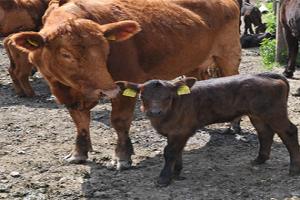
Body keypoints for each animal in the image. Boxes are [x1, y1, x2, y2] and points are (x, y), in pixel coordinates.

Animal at [10, 0, 243, 169]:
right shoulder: (66, 95)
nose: (108, 89)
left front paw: (122, 157)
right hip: (195, 63)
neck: (73, 90)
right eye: (65, 54)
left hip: (229, 55)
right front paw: (79, 153)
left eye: (106, 50)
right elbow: (80, 123)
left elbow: (120, 122)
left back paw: (233, 125)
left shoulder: (126, 85)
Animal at [116, 72, 300, 187]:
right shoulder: (177, 132)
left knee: (289, 131)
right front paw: (176, 173)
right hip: (257, 114)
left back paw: (294, 169)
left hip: (274, 112)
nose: (154, 112)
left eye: (168, 96)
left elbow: (169, 152)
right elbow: (177, 151)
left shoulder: (181, 130)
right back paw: (259, 159)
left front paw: (164, 178)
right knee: (265, 132)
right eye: (142, 96)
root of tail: (268, 74)